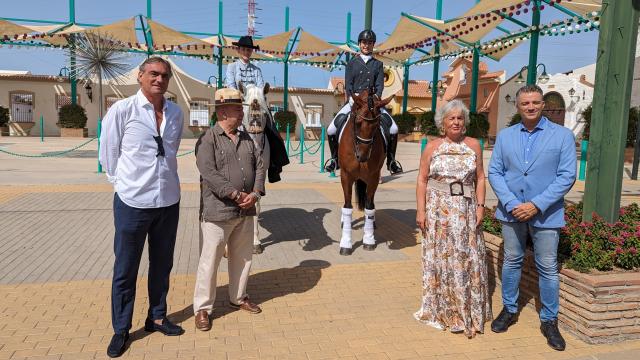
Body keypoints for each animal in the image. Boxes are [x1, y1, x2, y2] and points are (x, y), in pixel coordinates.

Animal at [338, 89, 392, 256]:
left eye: (377, 125)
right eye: (357, 123)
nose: (362, 156)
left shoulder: (374, 177)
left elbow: (369, 206)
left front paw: (368, 239)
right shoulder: (346, 176)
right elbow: (347, 206)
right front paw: (346, 243)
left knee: (371, 201)